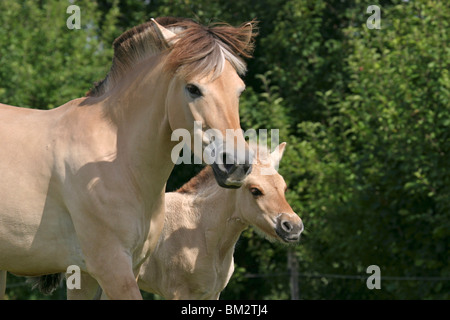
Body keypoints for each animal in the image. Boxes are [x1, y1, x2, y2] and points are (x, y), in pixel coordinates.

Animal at [0, 16, 255, 298]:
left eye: (239, 90)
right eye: (193, 88)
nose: (237, 165)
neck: (120, 163)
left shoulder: (103, 272)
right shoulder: (111, 266)